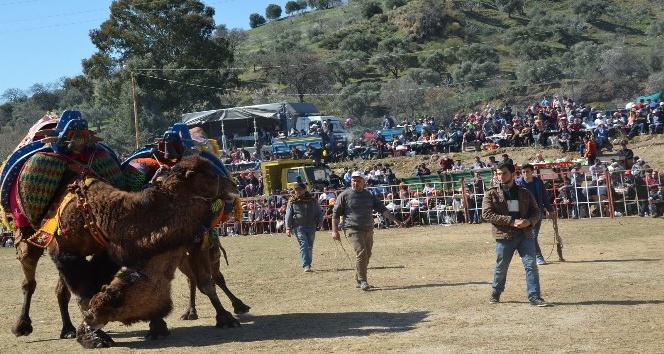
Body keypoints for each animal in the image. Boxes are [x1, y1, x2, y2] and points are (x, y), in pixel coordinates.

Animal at [42, 156, 237, 348]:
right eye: (209, 176)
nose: (232, 184)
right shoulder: (68, 253)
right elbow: (84, 292)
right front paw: (95, 337)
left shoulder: (194, 243)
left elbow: (207, 283)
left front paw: (226, 319)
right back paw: (64, 329)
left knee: (211, 276)